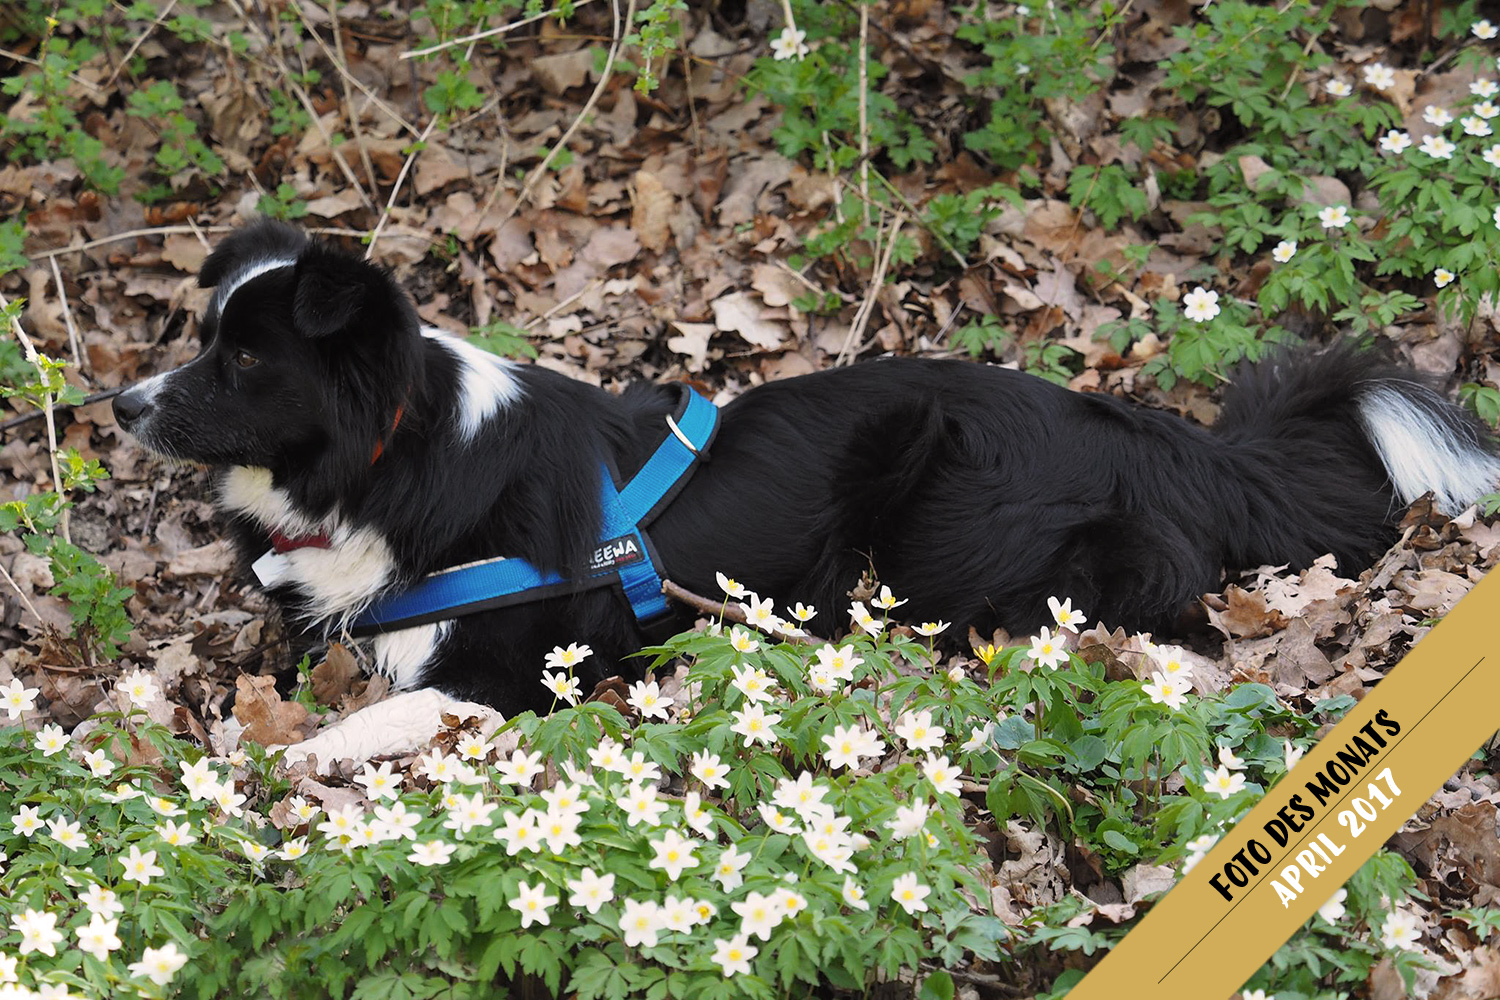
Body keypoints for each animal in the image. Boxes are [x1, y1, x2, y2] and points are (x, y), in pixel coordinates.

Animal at [114, 220, 1500, 767]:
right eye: (203, 336)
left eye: (248, 361)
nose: (118, 405)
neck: (397, 453)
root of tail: (1159, 436)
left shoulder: (512, 673)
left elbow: (382, 715)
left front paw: (287, 762)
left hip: (945, 518)